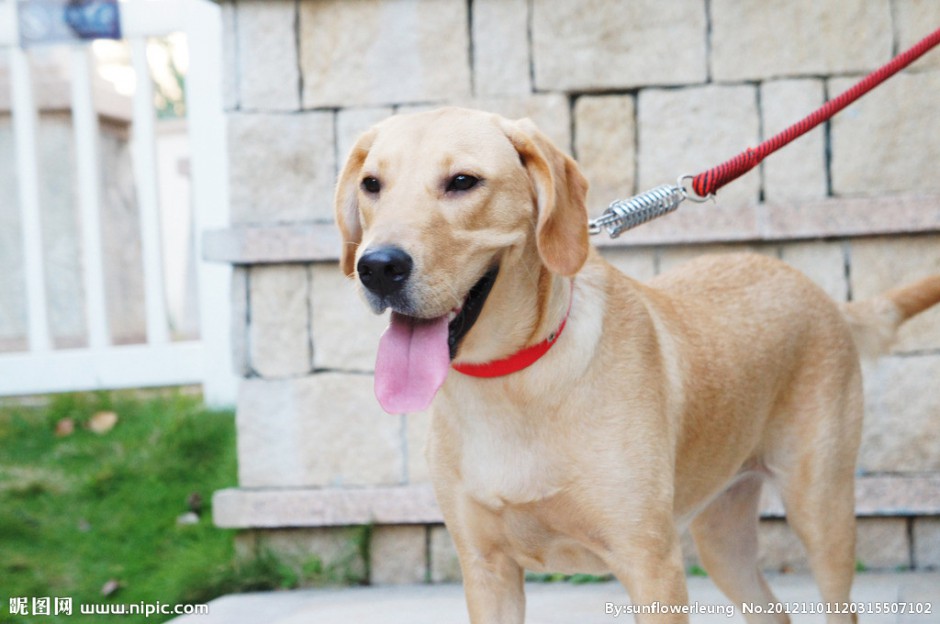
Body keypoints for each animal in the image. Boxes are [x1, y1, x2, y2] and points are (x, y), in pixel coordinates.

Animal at [334, 105, 936, 620]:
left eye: (462, 182)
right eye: (372, 185)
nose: (377, 267)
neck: (513, 380)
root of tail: (823, 294)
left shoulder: (652, 567)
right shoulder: (487, 571)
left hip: (821, 512)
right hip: (721, 536)